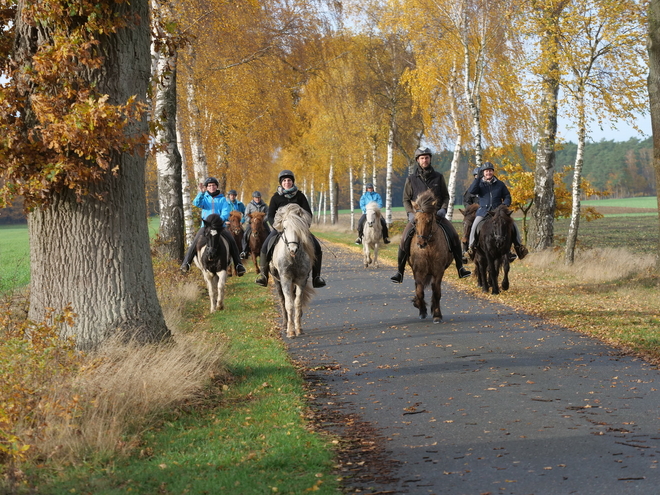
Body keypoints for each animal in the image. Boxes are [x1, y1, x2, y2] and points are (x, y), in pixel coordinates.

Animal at [270, 203, 318, 340]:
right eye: (285, 228)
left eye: (299, 228)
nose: (293, 249)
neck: (293, 258)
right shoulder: (285, 279)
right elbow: (289, 304)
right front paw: (290, 331)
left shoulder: (301, 280)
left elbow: (297, 303)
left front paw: (298, 329)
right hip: (277, 280)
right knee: (282, 300)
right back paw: (285, 324)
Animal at [408, 190, 454, 326]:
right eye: (415, 221)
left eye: (429, 220)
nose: (421, 243)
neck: (428, 249)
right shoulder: (418, 271)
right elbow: (419, 291)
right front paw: (421, 310)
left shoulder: (438, 271)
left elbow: (436, 292)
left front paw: (437, 315)